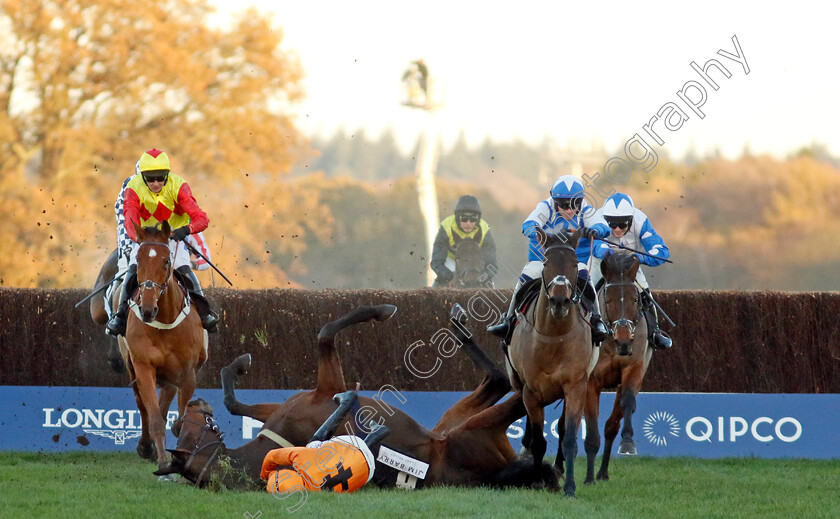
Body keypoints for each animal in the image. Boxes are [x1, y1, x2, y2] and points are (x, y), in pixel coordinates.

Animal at [120, 220, 208, 476]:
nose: (148, 310)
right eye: (139, 261)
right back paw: (146, 446)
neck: (165, 320)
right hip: (133, 368)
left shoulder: (188, 372)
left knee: (165, 401)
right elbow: (155, 417)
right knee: (144, 407)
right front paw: (161, 458)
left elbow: (180, 417)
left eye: (166, 261)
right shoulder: (143, 366)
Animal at [161, 302, 560, 490]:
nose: (193, 403)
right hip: (471, 430)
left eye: (183, 425)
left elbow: (236, 401)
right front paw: (382, 311)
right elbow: (325, 331)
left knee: (498, 381)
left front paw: (237, 366)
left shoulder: (298, 401)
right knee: (512, 388)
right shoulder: (327, 389)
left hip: (452, 420)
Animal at [506, 230, 596, 498]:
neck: (554, 337)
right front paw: (537, 480)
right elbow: (538, 440)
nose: (559, 301)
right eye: (546, 263)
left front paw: (569, 486)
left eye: (574, 263)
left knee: (565, 429)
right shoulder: (530, 389)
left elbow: (568, 437)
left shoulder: (575, 386)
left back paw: (558, 468)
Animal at [584, 251, 648, 484]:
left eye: (635, 299)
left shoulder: (634, 368)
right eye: (608, 299)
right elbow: (591, 430)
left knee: (612, 425)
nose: (624, 341)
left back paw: (603, 472)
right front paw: (588, 478)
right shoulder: (590, 381)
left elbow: (626, 404)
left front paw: (628, 443)